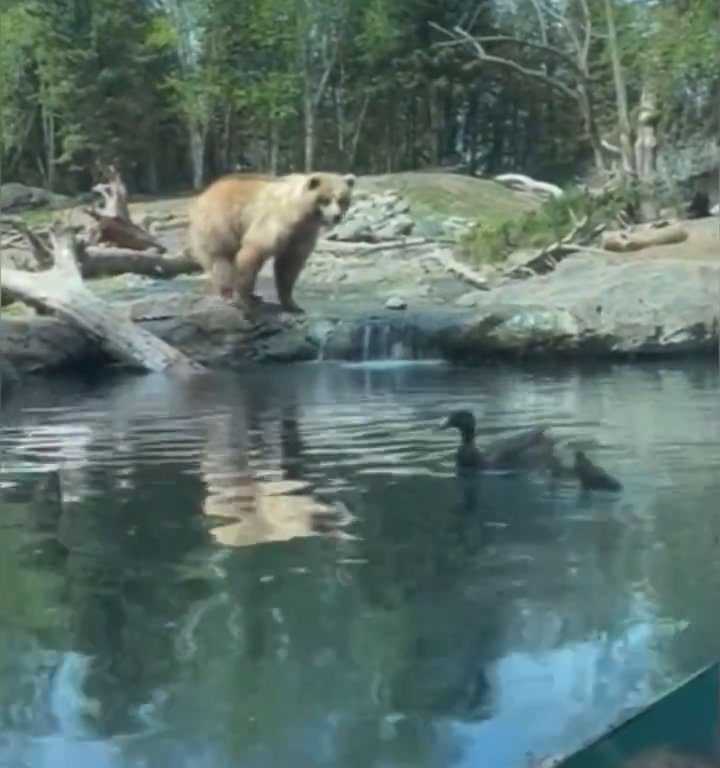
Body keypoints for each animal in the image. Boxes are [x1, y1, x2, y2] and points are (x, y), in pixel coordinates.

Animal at [186, 172, 354, 314]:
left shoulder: (302, 235)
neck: (301, 214)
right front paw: (244, 300)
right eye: (326, 199)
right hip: (220, 223)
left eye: (342, 199)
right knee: (221, 259)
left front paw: (293, 305)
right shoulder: (275, 222)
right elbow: (254, 250)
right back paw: (228, 293)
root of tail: (208, 190)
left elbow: (289, 266)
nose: (337, 216)